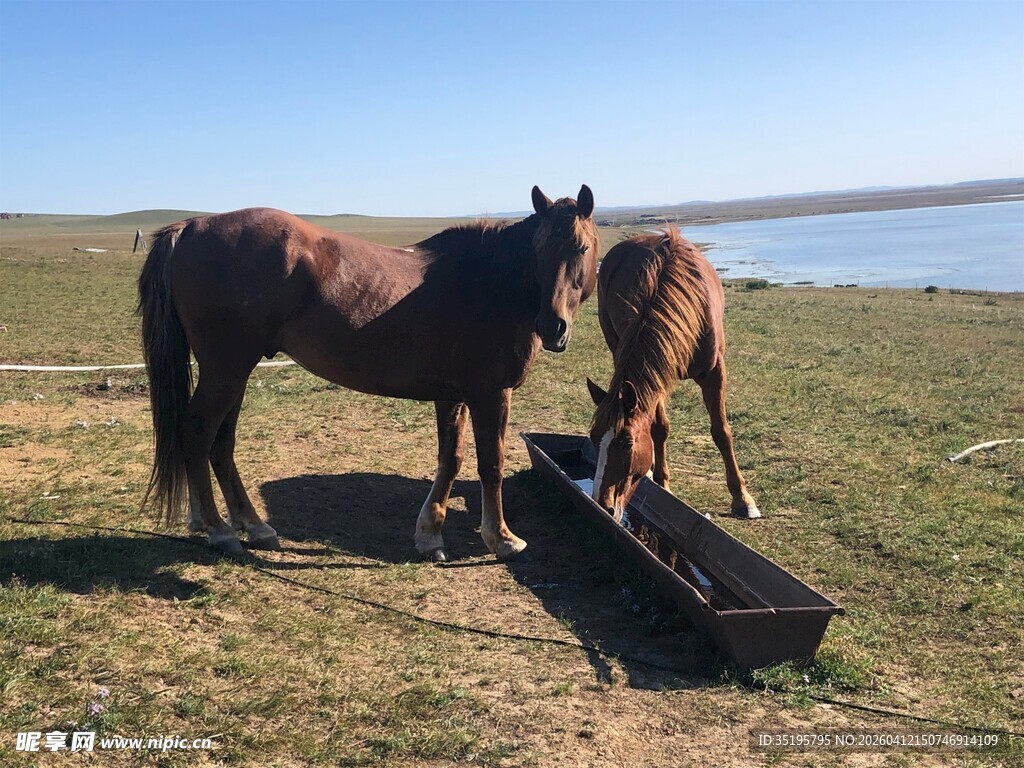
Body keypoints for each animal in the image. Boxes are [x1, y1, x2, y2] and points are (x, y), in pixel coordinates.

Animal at [138, 185, 599, 560]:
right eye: (540, 249)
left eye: (580, 247)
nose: (553, 327)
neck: (489, 283)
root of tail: (191, 227)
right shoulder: (491, 394)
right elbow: (491, 464)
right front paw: (502, 538)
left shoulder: (453, 395)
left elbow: (451, 459)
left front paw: (430, 534)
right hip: (226, 369)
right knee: (198, 433)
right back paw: (219, 530)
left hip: (234, 371)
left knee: (221, 443)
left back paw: (251, 525)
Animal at [585, 227, 761, 522]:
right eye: (594, 439)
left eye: (627, 443)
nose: (602, 504)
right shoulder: (654, 376)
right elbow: (659, 428)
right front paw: (662, 483)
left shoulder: (715, 372)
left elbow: (721, 431)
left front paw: (742, 499)